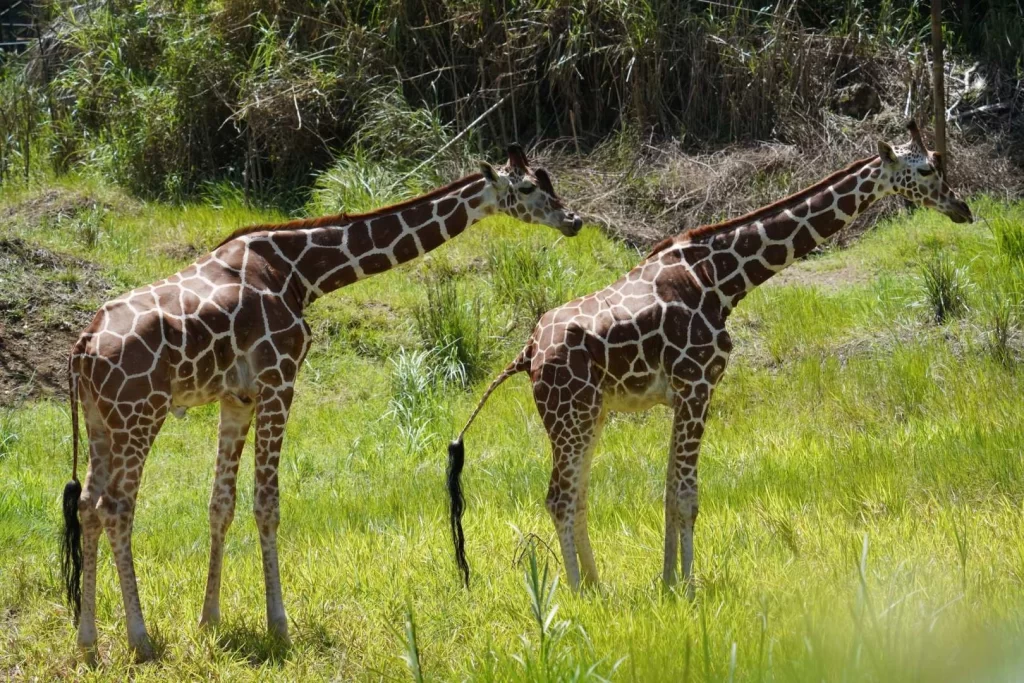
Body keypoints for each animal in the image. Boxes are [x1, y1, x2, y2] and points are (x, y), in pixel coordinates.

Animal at [59, 145, 581, 663]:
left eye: (547, 182)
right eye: (528, 188)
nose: (573, 220)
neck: (300, 272)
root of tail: (83, 347)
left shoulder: (237, 396)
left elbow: (220, 504)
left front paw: (210, 621)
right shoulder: (279, 380)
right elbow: (266, 504)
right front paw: (279, 626)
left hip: (99, 420)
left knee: (87, 505)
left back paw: (87, 642)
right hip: (140, 414)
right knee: (116, 507)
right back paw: (140, 640)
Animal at [444, 122, 970, 593]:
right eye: (926, 169)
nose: (961, 207)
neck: (722, 277)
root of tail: (528, 351)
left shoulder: (682, 394)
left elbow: (669, 492)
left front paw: (668, 582)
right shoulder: (699, 384)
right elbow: (686, 495)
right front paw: (687, 587)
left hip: (589, 414)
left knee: (577, 496)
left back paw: (597, 587)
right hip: (570, 414)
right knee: (559, 497)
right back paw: (576, 592)